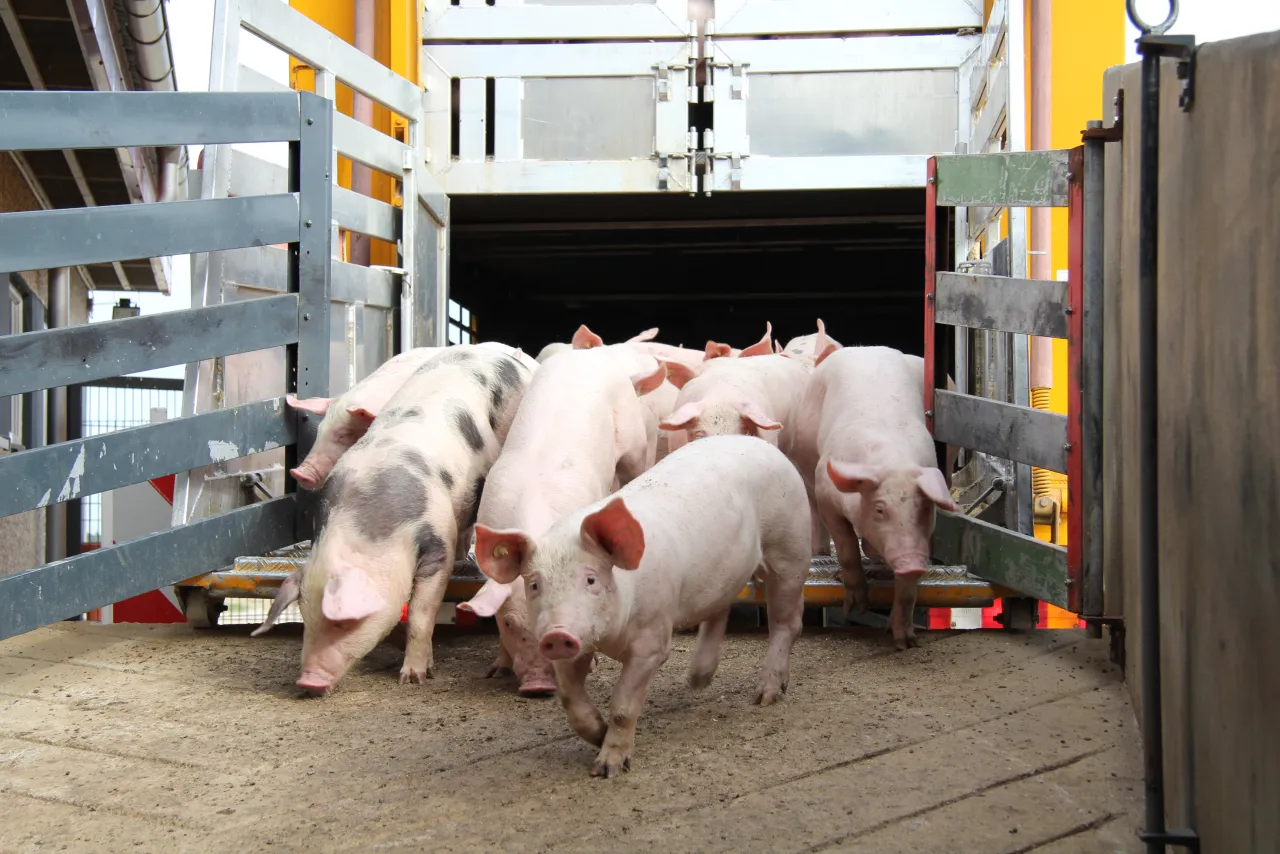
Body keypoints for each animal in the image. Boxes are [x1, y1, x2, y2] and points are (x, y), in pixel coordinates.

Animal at [252, 343, 532, 691]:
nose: (307, 682)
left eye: (345, 622)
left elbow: (421, 613)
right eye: (304, 615)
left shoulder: (436, 543)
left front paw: (413, 678)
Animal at [476, 437, 814, 778]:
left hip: (790, 547)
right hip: (724, 572)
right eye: (534, 584)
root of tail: (759, 443)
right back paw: (697, 681)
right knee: (720, 608)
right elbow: (571, 700)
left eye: (591, 579)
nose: (557, 634)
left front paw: (608, 769)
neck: (610, 639)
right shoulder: (577, 643)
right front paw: (598, 736)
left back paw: (764, 696)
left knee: (787, 622)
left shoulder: (652, 640)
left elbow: (624, 706)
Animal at [788, 343, 962, 650]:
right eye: (880, 509)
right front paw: (857, 607)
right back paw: (821, 553)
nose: (911, 562)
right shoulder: (827, 493)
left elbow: (907, 590)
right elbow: (846, 545)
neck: (892, 460)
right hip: (806, 456)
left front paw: (904, 642)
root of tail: (864, 348)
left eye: (924, 509)